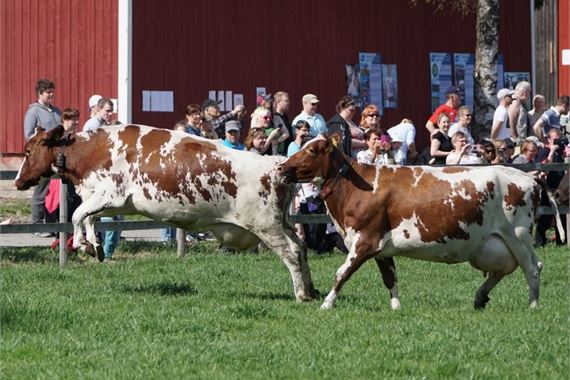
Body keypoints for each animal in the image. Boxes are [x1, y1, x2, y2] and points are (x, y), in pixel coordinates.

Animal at [14, 124, 316, 300]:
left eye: (28, 151)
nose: (17, 181)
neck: (93, 151)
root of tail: (277, 164)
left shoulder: (109, 193)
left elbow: (78, 216)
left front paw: (80, 243)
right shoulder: (105, 200)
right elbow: (90, 218)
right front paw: (93, 246)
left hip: (266, 225)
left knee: (291, 252)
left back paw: (302, 294)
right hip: (282, 222)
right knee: (301, 247)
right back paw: (312, 291)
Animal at [278, 135, 560, 310]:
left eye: (311, 150)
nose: (281, 167)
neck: (355, 186)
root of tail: (528, 176)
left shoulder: (364, 240)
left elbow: (341, 273)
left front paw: (327, 303)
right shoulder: (381, 247)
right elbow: (390, 278)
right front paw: (396, 307)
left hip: (518, 235)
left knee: (532, 268)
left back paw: (533, 305)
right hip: (492, 244)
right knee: (501, 270)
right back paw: (480, 297)